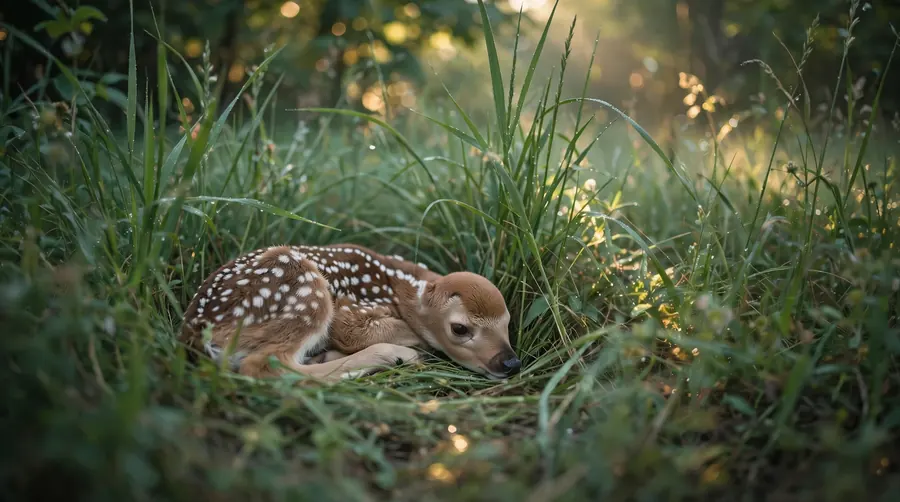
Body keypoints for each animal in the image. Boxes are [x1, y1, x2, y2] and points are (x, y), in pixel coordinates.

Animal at [179, 244, 522, 382]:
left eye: (508, 322)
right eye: (460, 329)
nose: (510, 362)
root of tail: (194, 331)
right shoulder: (351, 311)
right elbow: (353, 331)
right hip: (304, 289)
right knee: (264, 365)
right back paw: (390, 357)